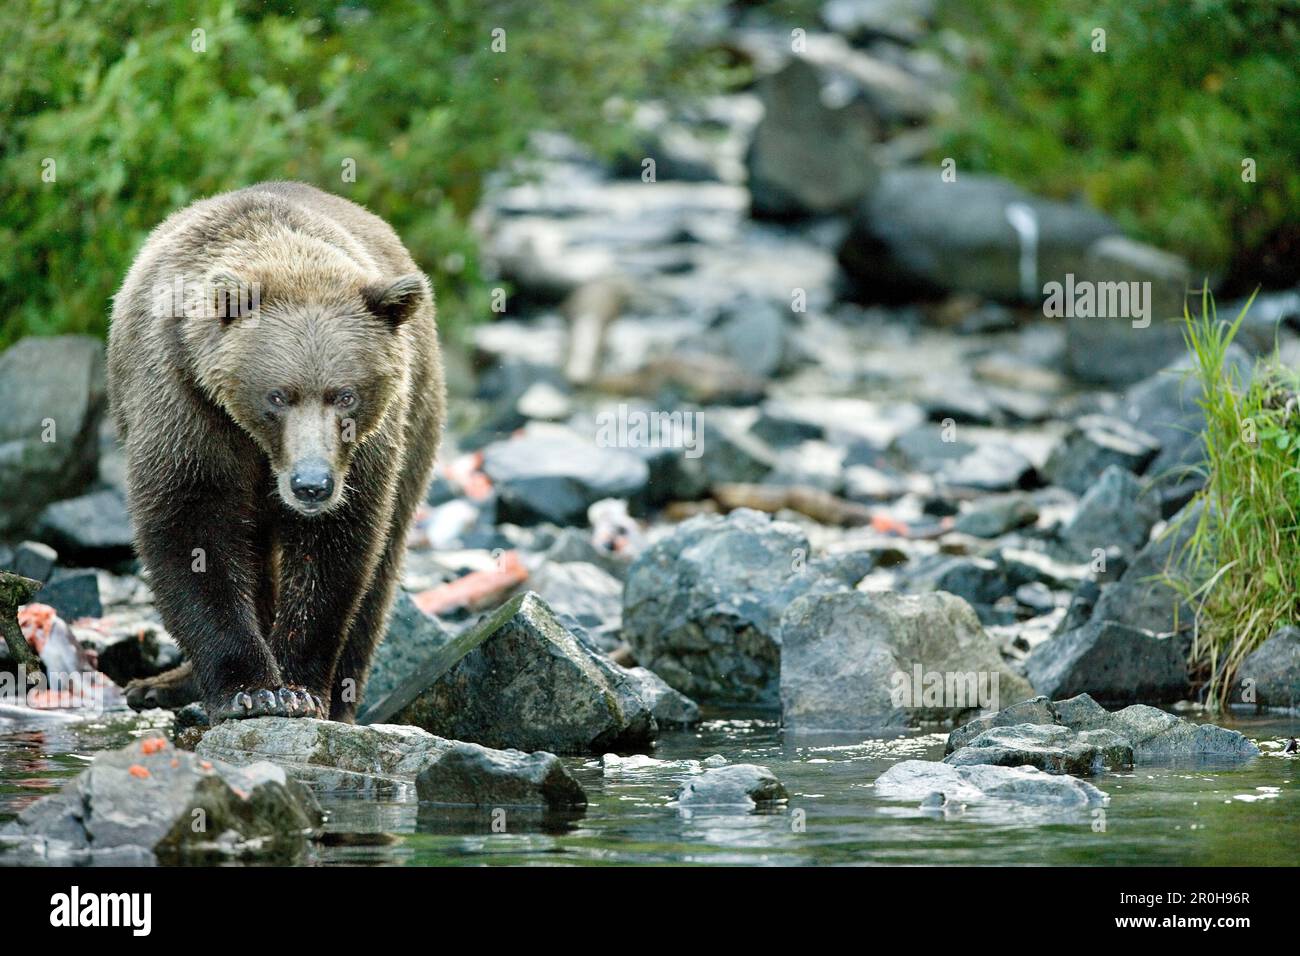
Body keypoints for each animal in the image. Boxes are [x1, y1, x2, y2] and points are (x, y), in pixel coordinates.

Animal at [107, 179, 441, 723]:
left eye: (345, 395)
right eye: (278, 395)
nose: (311, 485)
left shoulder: (364, 454)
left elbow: (336, 551)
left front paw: (300, 687)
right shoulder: (185, 400)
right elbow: (191, 527)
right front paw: (249, 688)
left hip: (419, 421)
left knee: (382, 570)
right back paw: (158, 685)